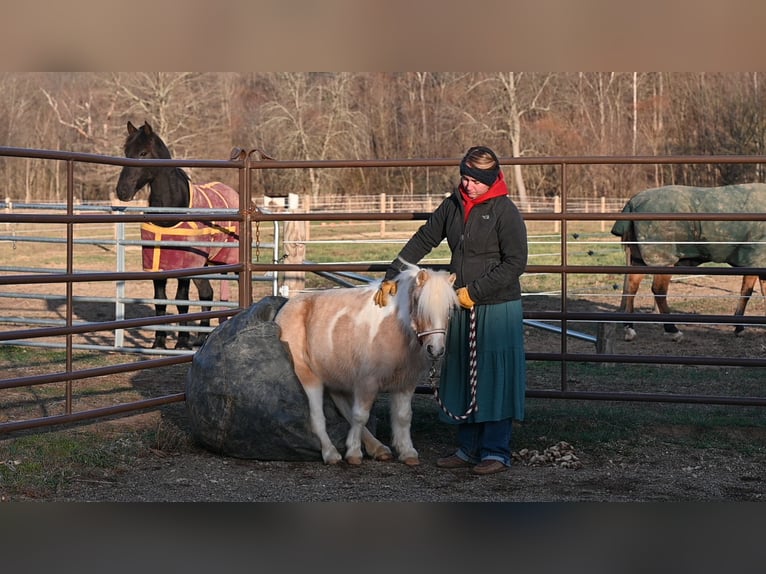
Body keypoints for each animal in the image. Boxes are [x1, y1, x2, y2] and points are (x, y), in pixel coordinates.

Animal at [115, 121, 237, 352]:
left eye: (143, 153)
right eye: (125, 152)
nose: (122, 191)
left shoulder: (185, 268)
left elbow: (182, 301)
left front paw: (181, 342)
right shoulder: (156, 267)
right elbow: (160, 302)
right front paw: (158, 343)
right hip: (203, 264)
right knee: (206, 294)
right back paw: (201, 337)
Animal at [274, 266, 456, 468]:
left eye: (449, 309)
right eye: (420, 305)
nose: (436, 349)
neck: (396, 327)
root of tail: (286, 307)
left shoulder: (406, 383)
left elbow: (403, 416)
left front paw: (407, 452)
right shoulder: (367, 381)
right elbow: (360, 415)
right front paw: (354, 453)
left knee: (342, 406)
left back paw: (378, 449)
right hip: (308, 376)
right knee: (318, 418)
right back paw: (331, 453)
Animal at [612, 186, 766, 342]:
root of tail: (634, 201)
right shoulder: (754, 261)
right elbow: (746, 293)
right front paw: (739, 328)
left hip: (640, 259)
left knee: (632, 287)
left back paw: (629, 328)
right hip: (663, 260)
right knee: (659, 291)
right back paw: (672, 330)